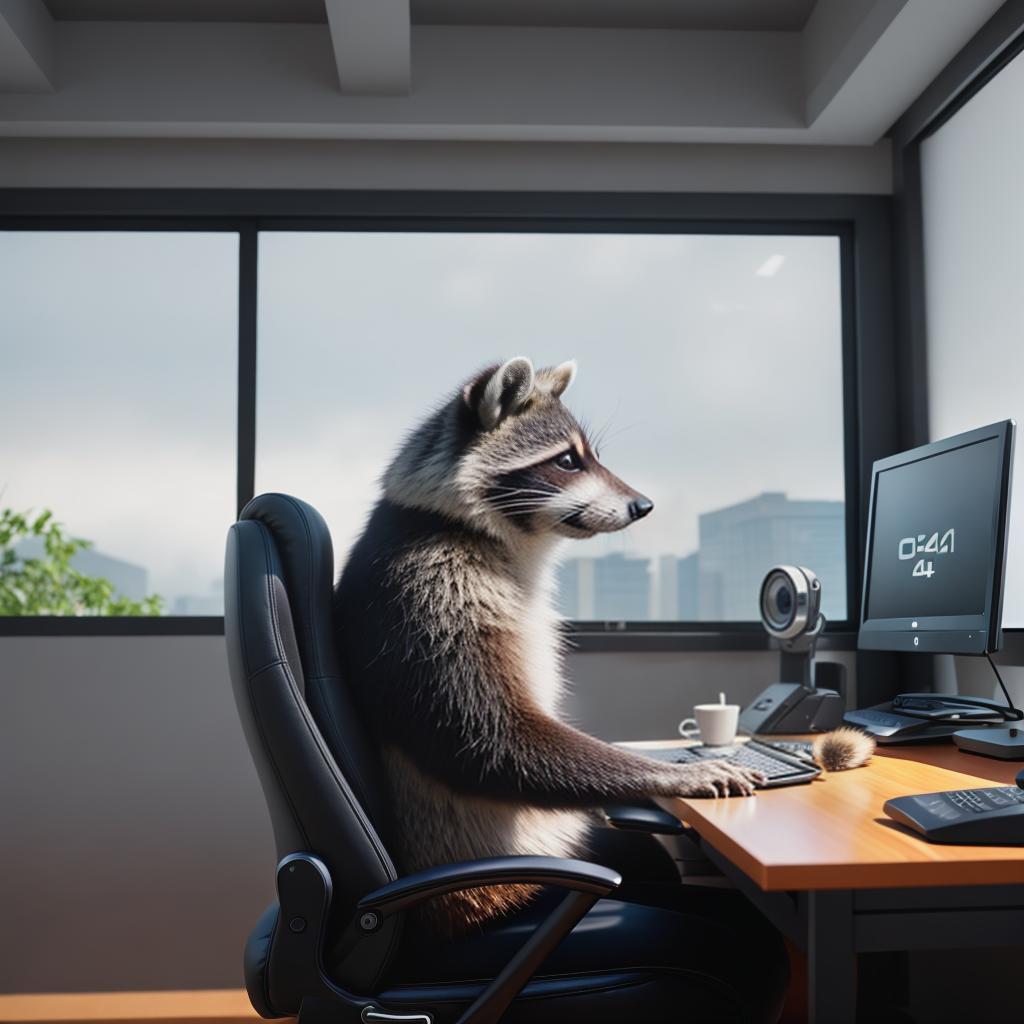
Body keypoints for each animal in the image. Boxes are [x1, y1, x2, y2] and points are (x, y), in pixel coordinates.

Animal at [335, 356, 761, 933]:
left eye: (591, 456)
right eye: (566, 461)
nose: (644, 505)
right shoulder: (431, 594)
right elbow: (487, 739)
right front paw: (679, 773)